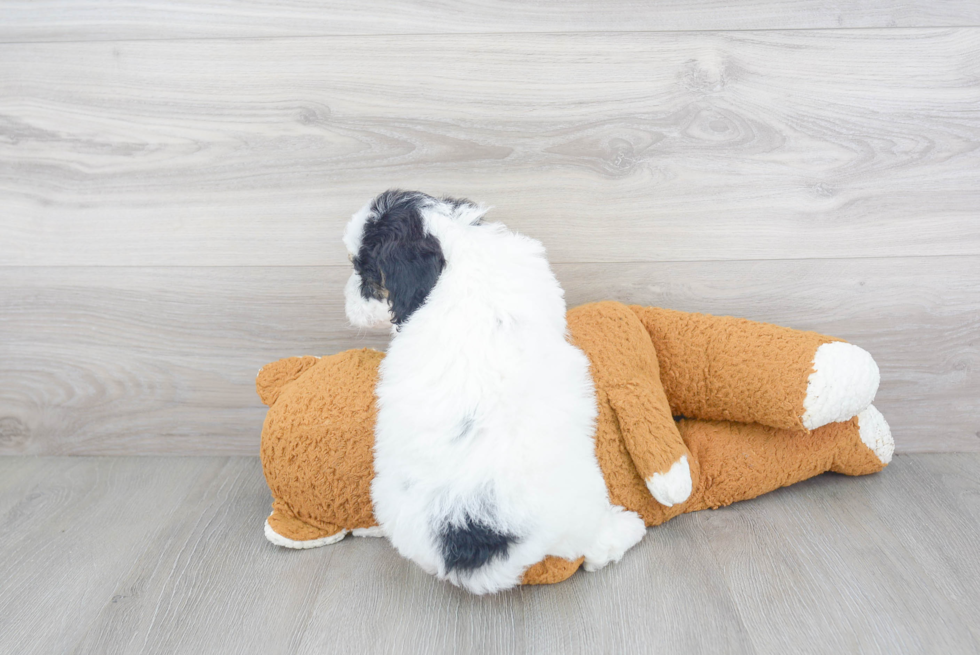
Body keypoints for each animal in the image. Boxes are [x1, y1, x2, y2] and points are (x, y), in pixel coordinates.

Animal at [340, 188, 648, 596]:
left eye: (365, 273)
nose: (347, 303)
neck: (456, 247)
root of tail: (475, 540)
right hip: (584, 493)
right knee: (590, 546)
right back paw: (626, 528)